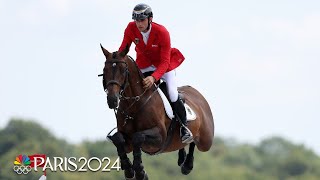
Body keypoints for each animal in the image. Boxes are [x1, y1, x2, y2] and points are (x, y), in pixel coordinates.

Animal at [99, 44, 215, 180]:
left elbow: (138, 137)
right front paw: (128, 169)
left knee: (194, 142)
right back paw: (182, 159)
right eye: (104, 70)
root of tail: (198, 94)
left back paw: (187, 164)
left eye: (123, 70)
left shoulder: (160, 137)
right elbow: (118, 139)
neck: (135, 104)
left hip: (206, 141)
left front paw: (140, 171)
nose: (112, 100)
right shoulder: (127, 142)